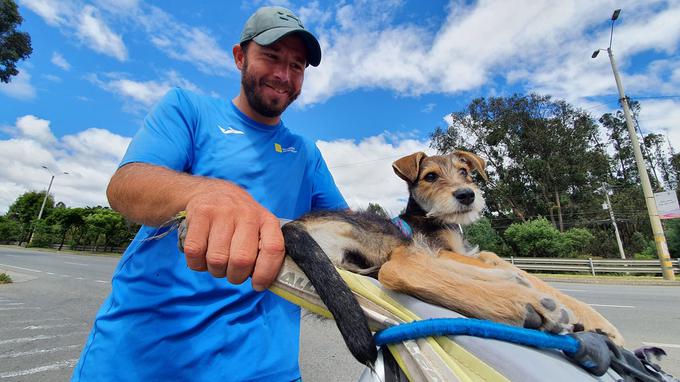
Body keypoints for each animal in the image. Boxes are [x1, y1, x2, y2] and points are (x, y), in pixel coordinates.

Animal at [278, 151, 624, 366]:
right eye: (430, 176)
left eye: (465, 172)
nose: (466, 195)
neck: (433, 217)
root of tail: (291, 225)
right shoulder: (442, 249)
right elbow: (494, 260)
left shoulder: (454, 252)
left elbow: (497, 259)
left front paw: (601, 325)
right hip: (393, 243)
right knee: (399, 270)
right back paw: (523, 302)